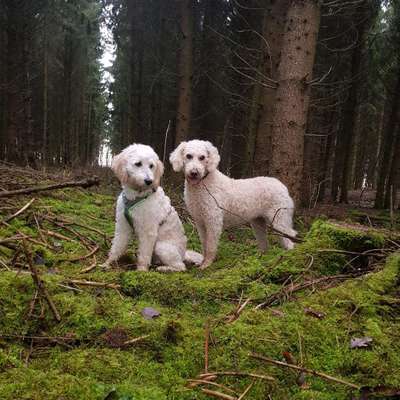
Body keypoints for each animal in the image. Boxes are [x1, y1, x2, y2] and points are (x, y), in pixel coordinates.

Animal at [104, 144, 203, 272]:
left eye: (151, 166)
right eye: (138, 163)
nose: (149, 181)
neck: (137, 195)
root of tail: (183, 254)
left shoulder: (148, 232)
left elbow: (144, 255)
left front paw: (141, 271)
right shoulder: (122, 227)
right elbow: (117, 246)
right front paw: (108, 263)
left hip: (161, 247)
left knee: (181, 267)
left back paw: (164, 268)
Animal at [169, 140, 296, 268]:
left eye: (202, 157)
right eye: (188, 156)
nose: (194, 173)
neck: (203, 184)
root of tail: (282, 186)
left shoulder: (213, 221)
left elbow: (210, 245)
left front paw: (207, 264)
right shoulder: (200, 222)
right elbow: (204, 243)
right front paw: (203, 261)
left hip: (279, 220)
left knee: (290, 240)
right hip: (258, 223)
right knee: (265, 245)